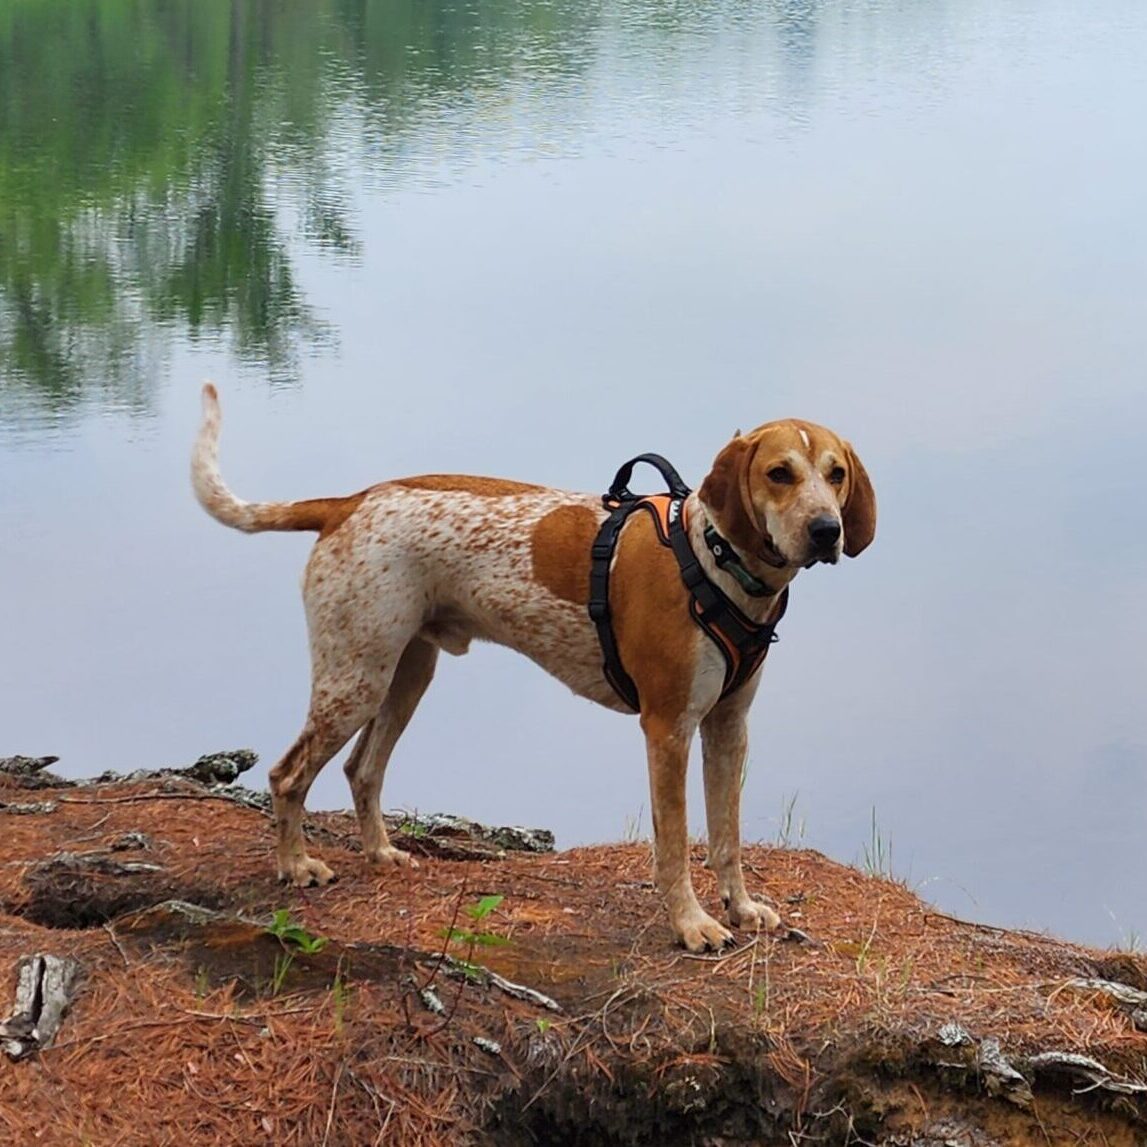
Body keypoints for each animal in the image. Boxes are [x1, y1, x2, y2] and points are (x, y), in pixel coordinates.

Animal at [190, 385, 876, 949]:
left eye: (836, 474)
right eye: (779, 474)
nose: (826, 530)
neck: (713, 561)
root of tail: (347, 503)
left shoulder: (729, 727)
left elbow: (726, 838)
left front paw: (740, 908)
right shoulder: (668, 729)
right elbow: (677, 846)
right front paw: (690, 924)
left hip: (406, 675)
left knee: (363, 769)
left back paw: (382, 853)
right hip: (354, 680)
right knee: (287, 775)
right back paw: (295, 867)